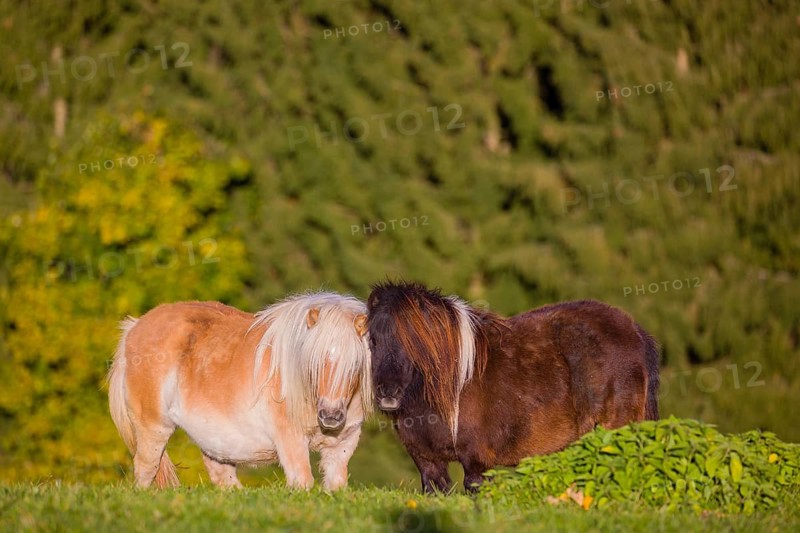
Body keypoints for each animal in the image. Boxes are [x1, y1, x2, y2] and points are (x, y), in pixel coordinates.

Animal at [107, 292, 372, 490]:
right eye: (313, 362)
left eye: (355, 364)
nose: (331, 416)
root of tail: (135, 326)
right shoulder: (291, 440)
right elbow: (303, 482)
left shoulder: (342, 446)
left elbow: (336, 486)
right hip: (153, 428)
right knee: (145, 470)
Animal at [367, 281, 660, 493]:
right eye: (373, 339)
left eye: (414, 340)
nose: (388, 392)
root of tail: (635, 331)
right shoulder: (427, 462)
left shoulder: (477, 462)